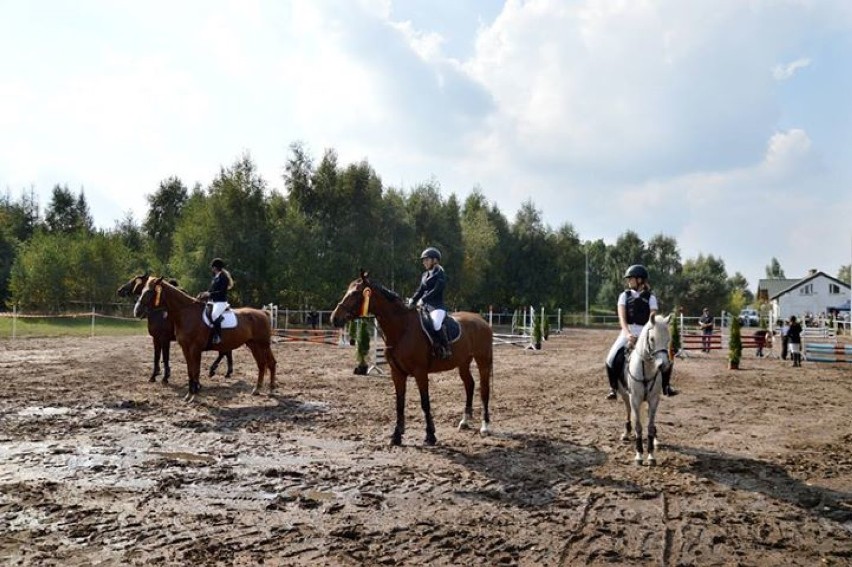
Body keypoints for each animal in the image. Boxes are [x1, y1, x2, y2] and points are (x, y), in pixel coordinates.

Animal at [134, 278, 276, 402]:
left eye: (149, 291)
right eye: (142, 290)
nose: (137, 311)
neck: (186, 313)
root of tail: (263, 313)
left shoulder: (194, 348)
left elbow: (195, 370)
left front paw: (194, 395)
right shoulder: (185, 348)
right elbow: (190, 370)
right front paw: (189, 394)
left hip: (263, 345)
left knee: (270, 363)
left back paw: (271, 390)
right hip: (253, 345)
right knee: (261, 364)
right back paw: (257, 389)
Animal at [332, 272, 496, 448]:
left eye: (355, 293)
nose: (334, 318)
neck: (402, 329)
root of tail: (481, 320)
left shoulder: (420, 373)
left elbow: (425, 403)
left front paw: (430, 436)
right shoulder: (397, 373)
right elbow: (399, 403)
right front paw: (396, 436)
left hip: (483, 361)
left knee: (484, 390)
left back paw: (485, 426)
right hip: (463, 362)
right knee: (469, 385)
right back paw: (465, 421)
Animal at [620, 316, 672, 466]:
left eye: (668, 339)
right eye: (652, 339)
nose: (663, 365)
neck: (647, 368)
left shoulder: (654, 399)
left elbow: (649, 426)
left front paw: (651, 455)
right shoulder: (635, 399)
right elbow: (638, 426)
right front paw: (638, 455)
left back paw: (655, 439)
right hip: (625, 395)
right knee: (628, 410)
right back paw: (626, 433)